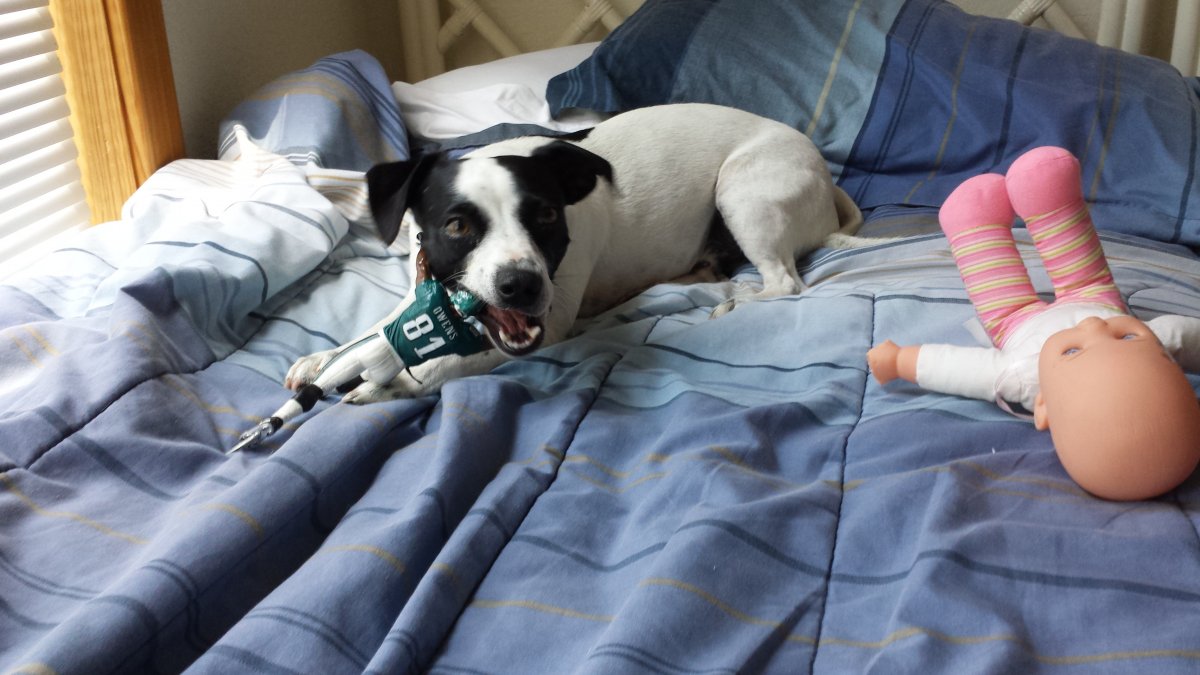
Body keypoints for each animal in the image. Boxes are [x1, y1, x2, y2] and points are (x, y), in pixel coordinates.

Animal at [285, 103, 867, 402]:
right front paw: (325, 359)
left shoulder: (545, 327)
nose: (520, 286)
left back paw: (736, 300)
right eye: (457, 225)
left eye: (545, 216)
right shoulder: (426, 291)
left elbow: (439, 364)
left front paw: (387, 382)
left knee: (784, 283)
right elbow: (378, 329)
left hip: (743, 193)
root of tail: (824, 183)